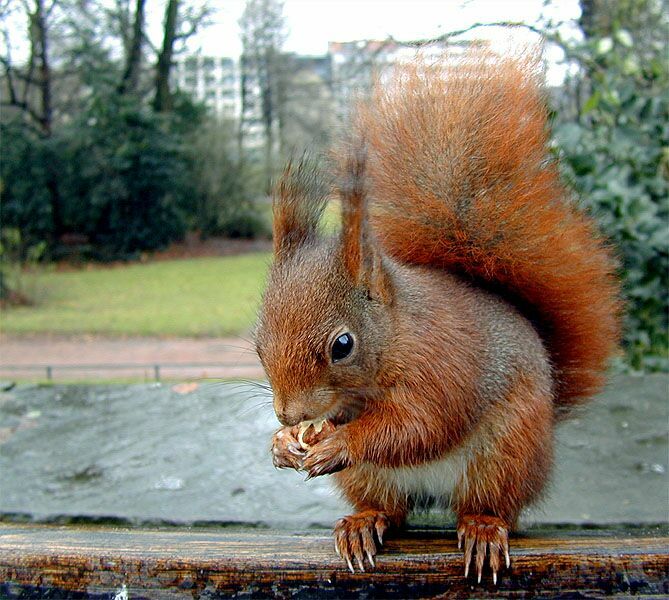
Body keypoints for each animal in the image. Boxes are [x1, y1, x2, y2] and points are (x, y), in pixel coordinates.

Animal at [254, 51, 621, 583]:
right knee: (389, 509)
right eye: (258, 346)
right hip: (375, 480)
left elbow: (418, 426)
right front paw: (284, 442)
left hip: (504, 455)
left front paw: (338, 443)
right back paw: (362, 524)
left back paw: (484, 529)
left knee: (489, 504)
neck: (396, 336)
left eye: (343, 345)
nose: (288, 413)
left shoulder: (440, 368)